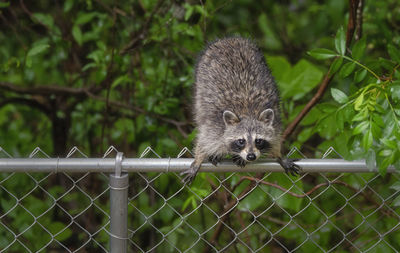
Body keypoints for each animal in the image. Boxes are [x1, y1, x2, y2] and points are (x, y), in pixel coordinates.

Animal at [181, 36, 300, 184]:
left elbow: (276, 139)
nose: (251, 156)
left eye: (258, 141)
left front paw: (279, 156)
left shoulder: (276, 122)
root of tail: (230, 39)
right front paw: (197, 160)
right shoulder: (214, 127)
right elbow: (204, 142)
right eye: (241, 141)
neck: (248, 113)